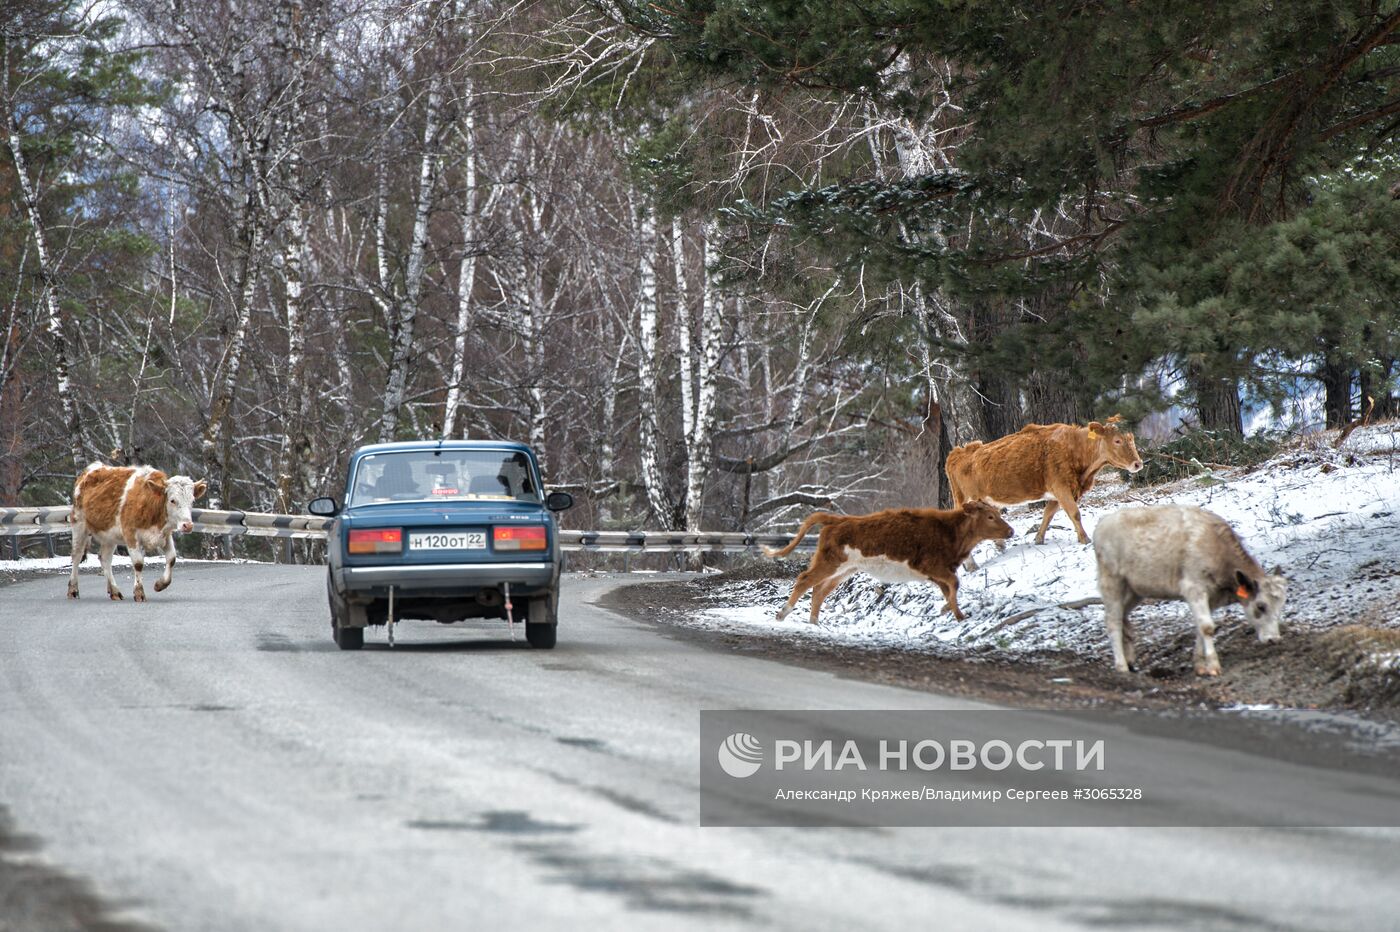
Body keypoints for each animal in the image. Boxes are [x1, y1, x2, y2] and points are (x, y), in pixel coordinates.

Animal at [66, 459, 207, 601]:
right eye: (172, 500)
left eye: (192, 501)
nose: (188, 525)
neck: (151, 504)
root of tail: (91, 469)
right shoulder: (131, 534)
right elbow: (138, 563)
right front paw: (139, 593)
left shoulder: (165, 535)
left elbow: (172, 559)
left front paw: (160, 584)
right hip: (79, 524)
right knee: (76, 555)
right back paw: (73, 590)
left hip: (109, 536)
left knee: (105, 559)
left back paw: (115, 591)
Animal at [761, 498, 1013, 621]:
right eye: (990, 516)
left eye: (997, 514)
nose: (1010, 531)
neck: (950, 532)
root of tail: (838, 519)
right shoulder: (931, 566)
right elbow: (954, 583)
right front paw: (957, 614)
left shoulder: (937, 573)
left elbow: (950, 588)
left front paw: (948, 610)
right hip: (830, 562)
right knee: (804, 580)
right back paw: (783, 614)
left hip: (845, 569)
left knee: (819, 591)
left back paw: (815, 622)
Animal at [946, 414, 1142, 545]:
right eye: (1117, 440)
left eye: (1131, 438)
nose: (1138, 463)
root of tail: (957, 453)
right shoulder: (1061, 487)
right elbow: (1074, 513)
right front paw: (1085, 538)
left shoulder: (1058, 493)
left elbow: (1048, 514)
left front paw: (1039, 538)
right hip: (965, 499)